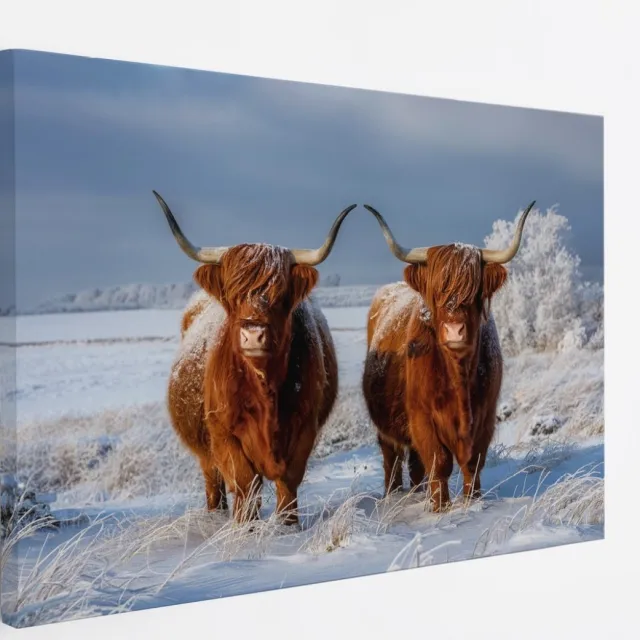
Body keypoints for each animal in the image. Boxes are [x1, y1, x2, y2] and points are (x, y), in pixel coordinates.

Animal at [153, 191, 356, 525]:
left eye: (281, 294)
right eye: (232, 295)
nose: (253, 334)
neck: (265, 389)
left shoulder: (304, 427)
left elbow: (289, 480)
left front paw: (288, 525)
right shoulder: (224, 433)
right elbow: (245, 483)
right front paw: (245, 527)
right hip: (204, 452)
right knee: (214, 483)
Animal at [361, 201, 535, 512]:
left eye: (474, 290)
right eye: (437, 291)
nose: (454, 330)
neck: (458, 375)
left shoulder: (485, 417)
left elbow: (473, 463)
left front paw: (472, 501)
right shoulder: (422, 419)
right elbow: (439, 462)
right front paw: (440, 507)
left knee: (414, 465)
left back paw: (417, 492)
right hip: (387, 426)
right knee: (392, 457)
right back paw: (394, 494)